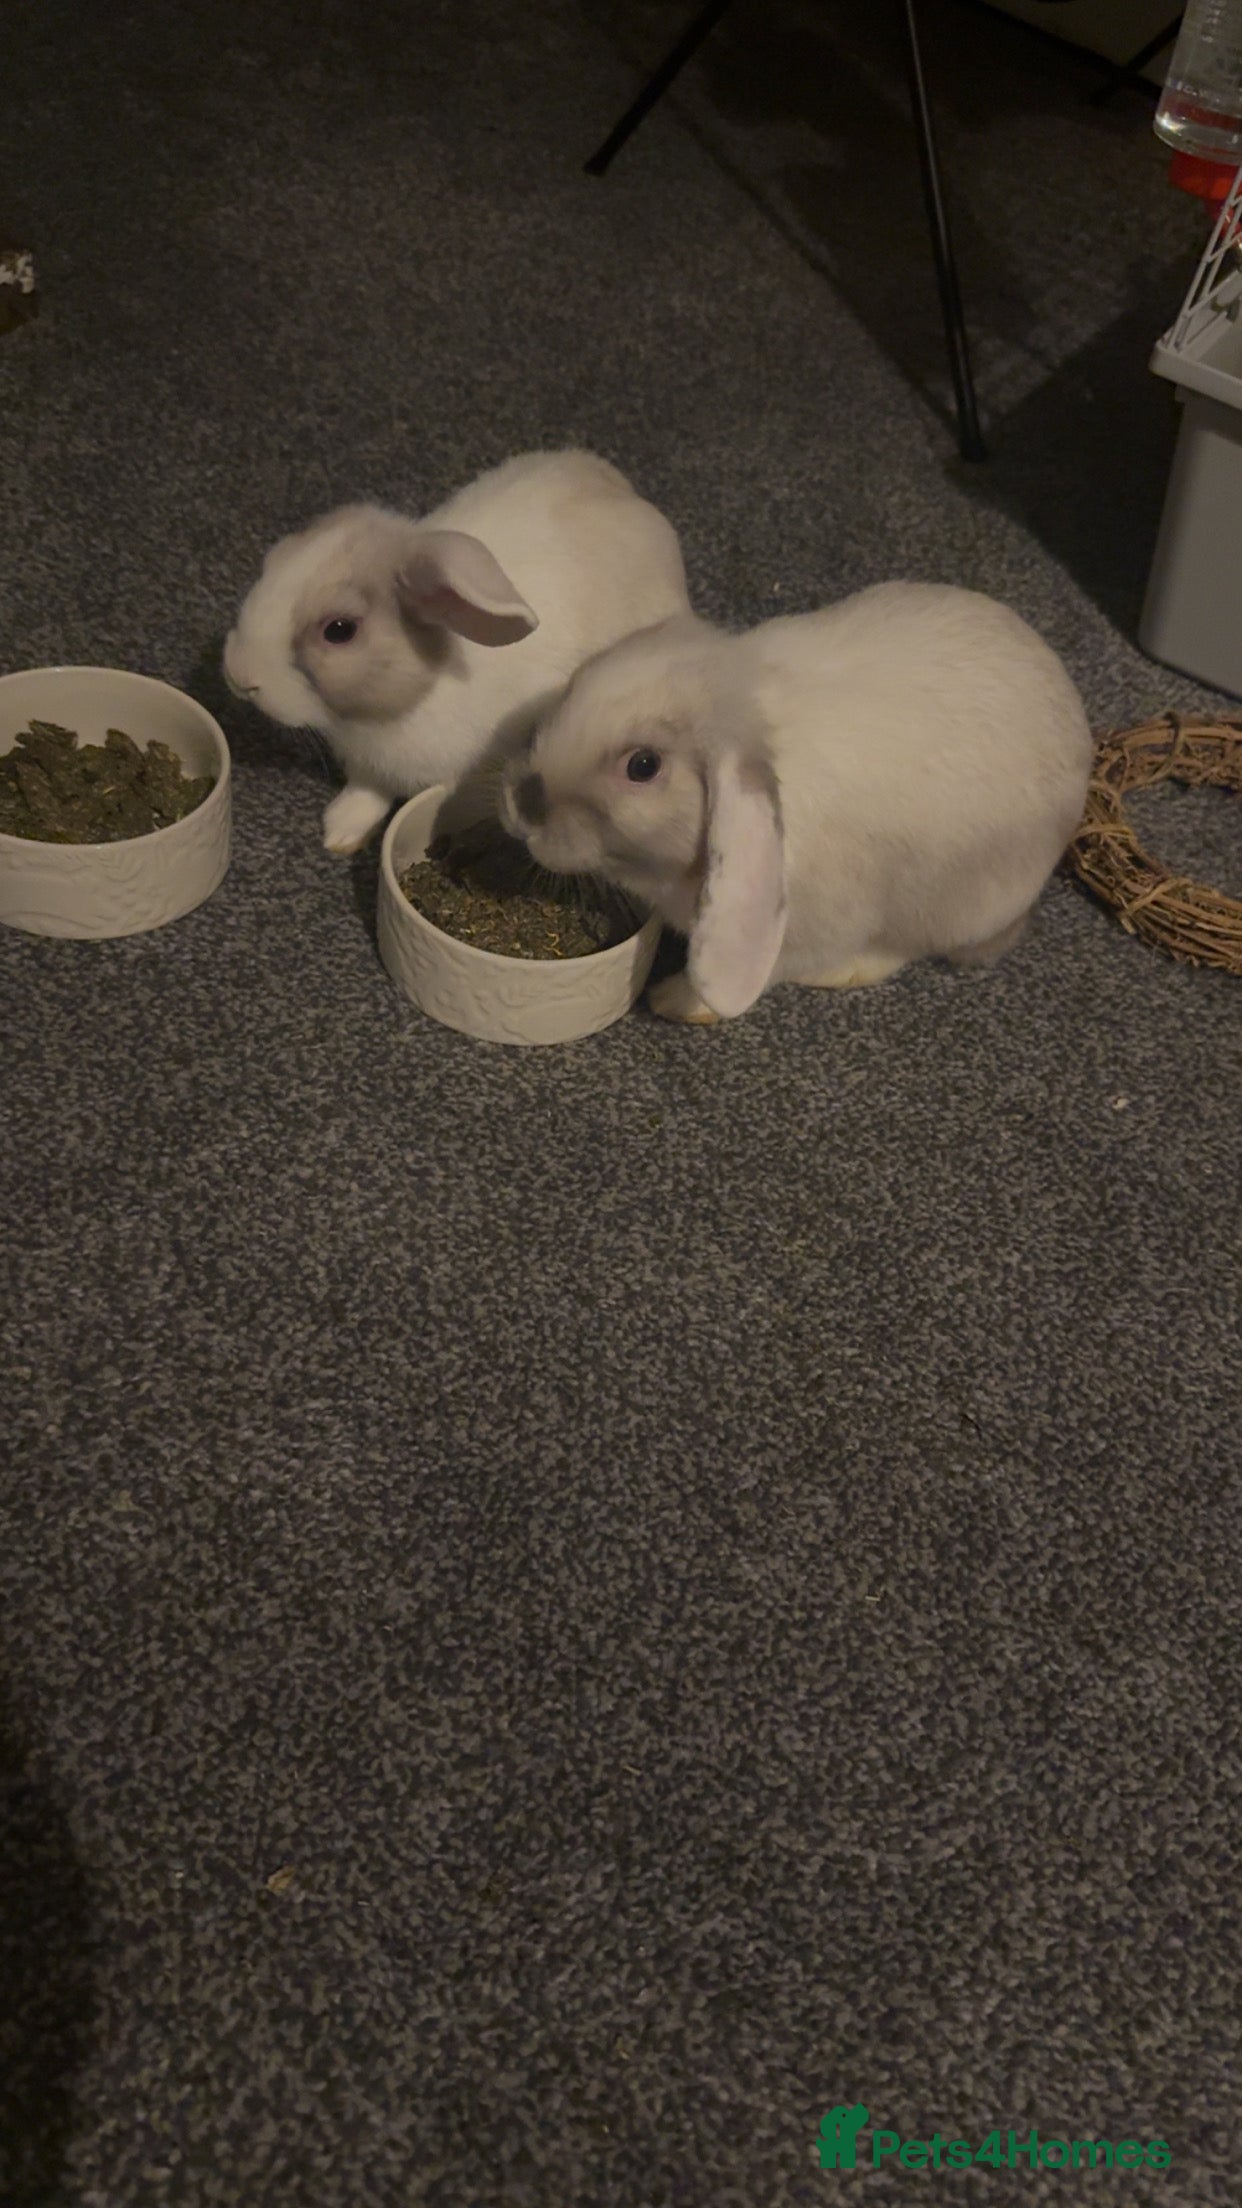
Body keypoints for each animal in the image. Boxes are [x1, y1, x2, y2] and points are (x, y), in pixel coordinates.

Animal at [222, 449, 690, 854]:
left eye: (339, 630)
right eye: (271, 562)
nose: (239, 677)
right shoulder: (369, 770)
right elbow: (365, 794)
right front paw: (340, 832)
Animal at [499, 581, 1095, 1022]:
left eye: (643, 766)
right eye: (574, 684)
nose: (523, 803)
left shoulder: (811, 929)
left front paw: (675, 1003)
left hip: (951, 903)